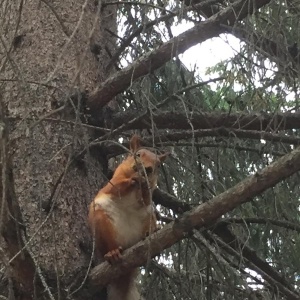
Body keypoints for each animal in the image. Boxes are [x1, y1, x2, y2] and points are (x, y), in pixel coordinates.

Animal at [88, 135, 169, 298]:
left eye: (158, 165)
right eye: (138, 154)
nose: (147, 169)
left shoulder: (149, 192)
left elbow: (146, 199)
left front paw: (143, 187)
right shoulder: (113, 182)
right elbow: (116, 187)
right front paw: (133, 180)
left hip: (148, 216)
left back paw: (152, 231)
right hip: (101, 223)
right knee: (108, 246)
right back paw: (112, 253)